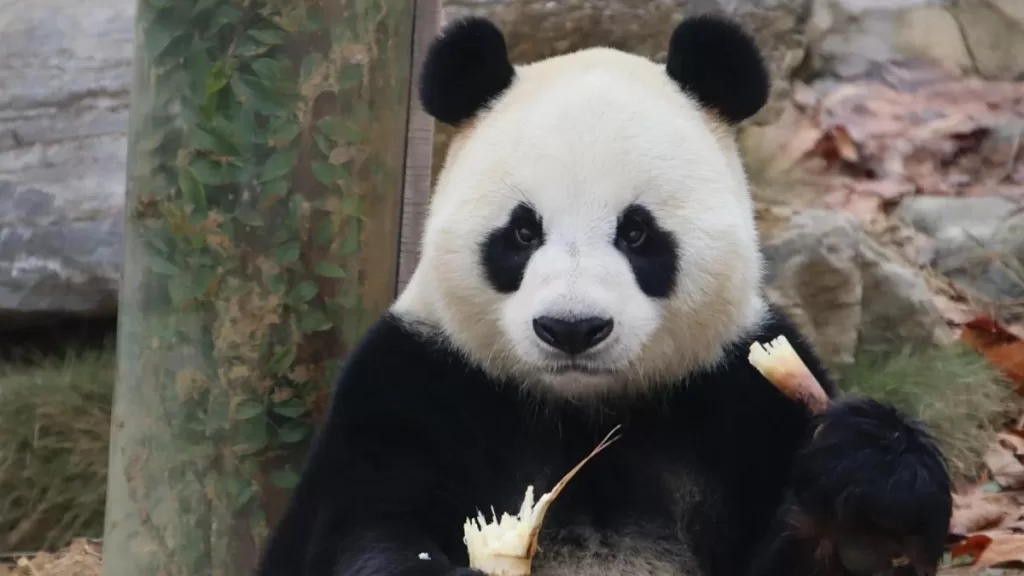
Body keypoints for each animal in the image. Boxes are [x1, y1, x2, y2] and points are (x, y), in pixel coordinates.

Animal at [257, 13, 953, 576]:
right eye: (523, 231)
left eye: (637, 232)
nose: (572, 329)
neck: (584, 411)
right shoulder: (417, 381)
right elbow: (364, 528)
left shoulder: (740, 397)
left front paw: (868, 506)